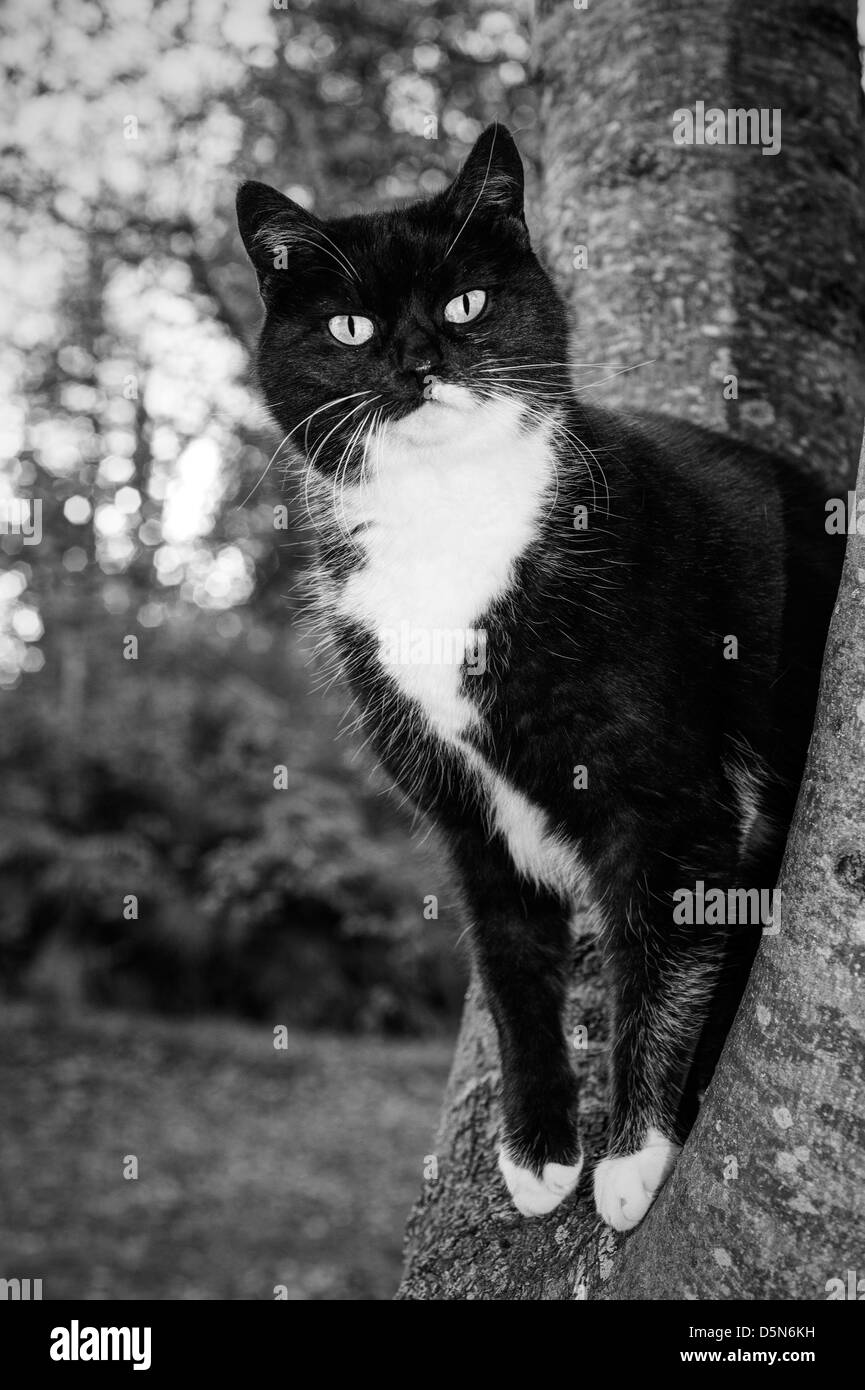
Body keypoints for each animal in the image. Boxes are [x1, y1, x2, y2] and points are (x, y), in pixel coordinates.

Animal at [235, 119, 839, 1228]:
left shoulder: (672, 798)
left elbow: (663, 960)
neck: (450, 522)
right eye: (349, 326)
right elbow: (511, 967)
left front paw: (634, 1154)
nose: (420, 361)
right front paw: (537, 1147)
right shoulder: (464, 816)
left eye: (466, 303)